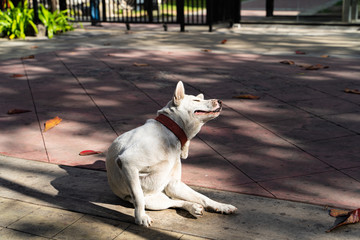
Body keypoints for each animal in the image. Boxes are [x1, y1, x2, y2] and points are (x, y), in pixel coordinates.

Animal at [105, 80, 238, 227]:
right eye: (196, 100)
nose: (220, 101)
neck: (170, 131)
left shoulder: (174, 183)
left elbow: (203, 197)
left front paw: (221, 206)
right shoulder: (128, 162)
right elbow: (138, 196)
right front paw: (141, 217)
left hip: (170, 190)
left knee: (183, 200)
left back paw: (205, 206)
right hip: (153, 201)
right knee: (167, 202)